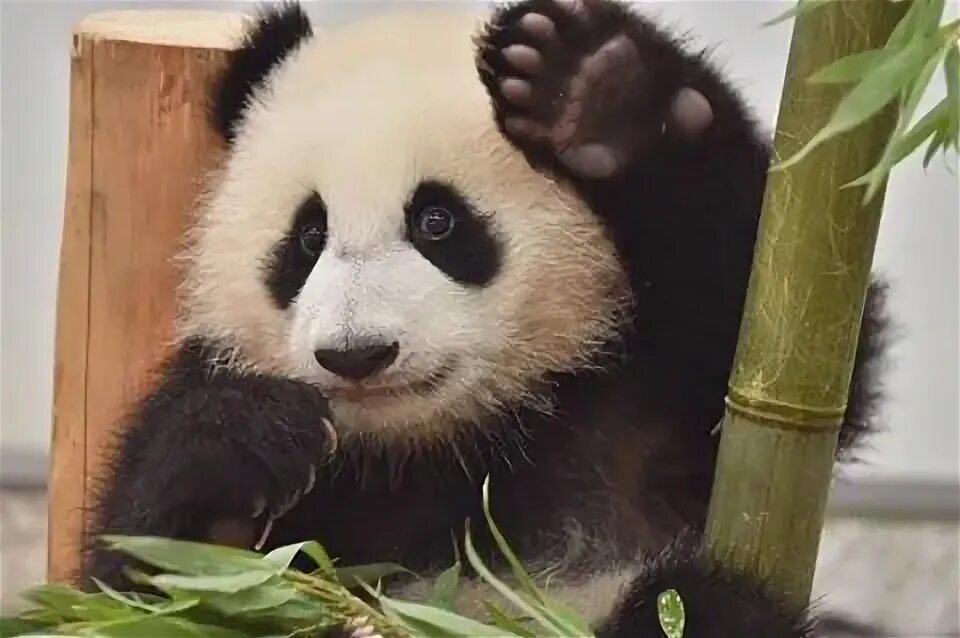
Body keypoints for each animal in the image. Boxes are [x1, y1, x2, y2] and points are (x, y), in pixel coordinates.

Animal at [79, 1, 892, 636]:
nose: (357, 354)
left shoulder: (666, 387)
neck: (452, 441)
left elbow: (788, 312)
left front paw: (596, 93)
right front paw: (234, 469)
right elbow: (128, 583)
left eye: (437, 221)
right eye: (307, 238)